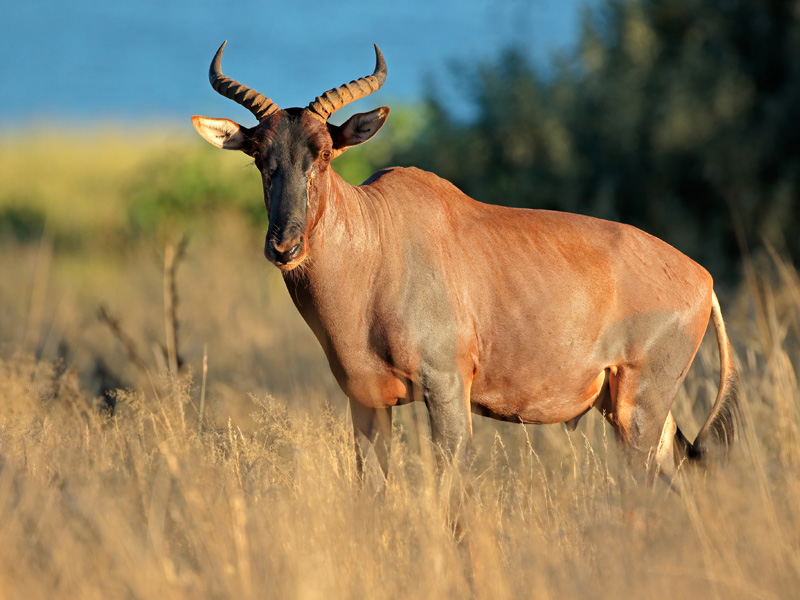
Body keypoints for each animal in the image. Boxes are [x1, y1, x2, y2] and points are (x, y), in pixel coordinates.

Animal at [192, 42, 736, 490]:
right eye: (258, 154)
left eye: (325, 152)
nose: (284, 247)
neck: (378, 239)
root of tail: (703, 279)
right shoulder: (366, 402)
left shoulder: (447, 388)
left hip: (638, 406)